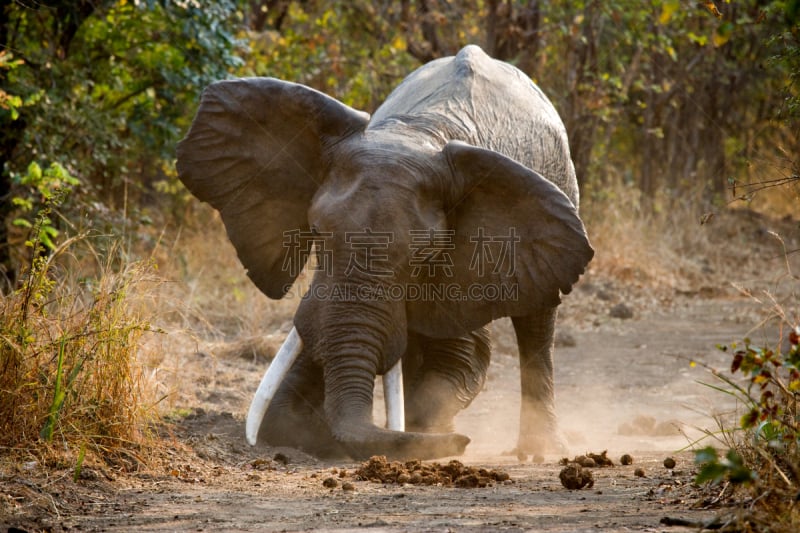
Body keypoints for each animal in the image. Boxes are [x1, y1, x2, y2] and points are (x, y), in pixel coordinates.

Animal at [180, 44, 592, 462]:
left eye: (425, 255)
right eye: (316, 231)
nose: (464, 443)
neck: (417, 131)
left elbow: (462, 356)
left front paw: (432, 435)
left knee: (537, 326)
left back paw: (539, 450)